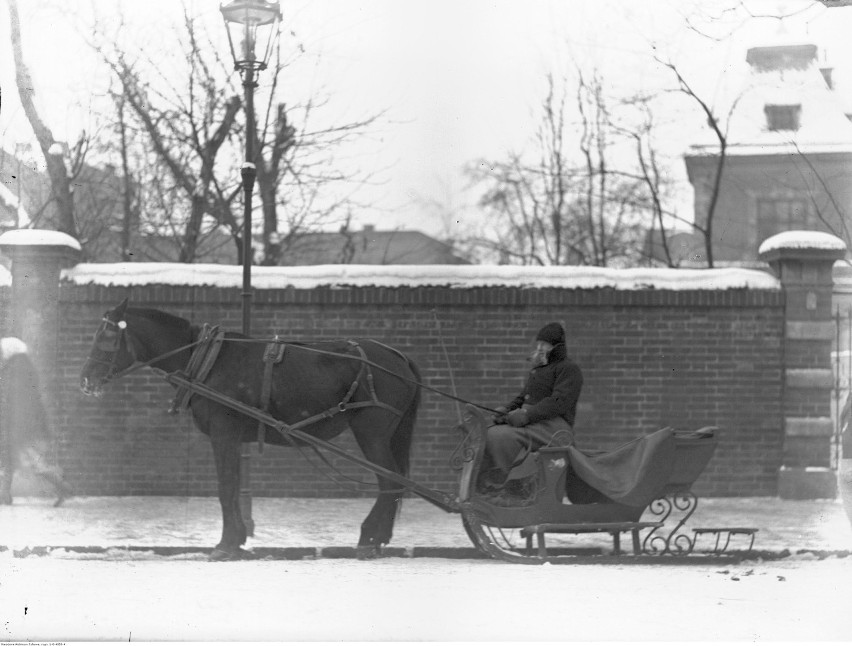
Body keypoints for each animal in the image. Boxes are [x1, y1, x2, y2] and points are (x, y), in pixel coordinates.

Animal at [80, 300, 420, 560]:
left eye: (106, 338)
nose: (85, 380)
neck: (206, 361)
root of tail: (399, 358)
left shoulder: (224, 434)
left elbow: (226, 487)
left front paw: (226, 544)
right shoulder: (231, 439)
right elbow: (231, 486)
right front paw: (237, 540)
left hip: (371, 433)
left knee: (390, 482)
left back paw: (369, 539)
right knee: (394, 483)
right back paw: (378, 538)